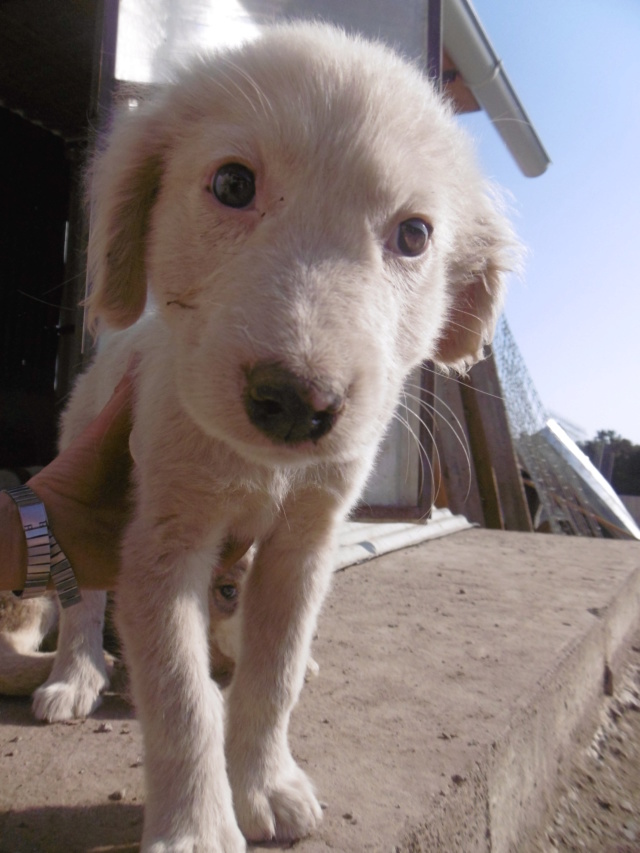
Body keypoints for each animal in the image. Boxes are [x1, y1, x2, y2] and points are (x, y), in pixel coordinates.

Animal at [13, 23, 520, 848]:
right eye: (231, 186)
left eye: (415, 234)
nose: (294, 401)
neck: (258, 466)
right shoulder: (162, 537)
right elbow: (181, 694)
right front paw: (197, 825)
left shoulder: (304, 542)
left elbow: (272, 673)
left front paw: (266, 781)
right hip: (81, 460)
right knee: (84, 595)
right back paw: (74, 674)